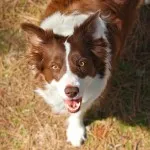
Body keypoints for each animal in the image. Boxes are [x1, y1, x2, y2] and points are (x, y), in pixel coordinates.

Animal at [21, 0, 144, 147]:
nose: (71, 92)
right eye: (54, 66)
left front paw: (76, 132)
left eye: (82, 63)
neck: (66, 30)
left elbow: (80, 110)